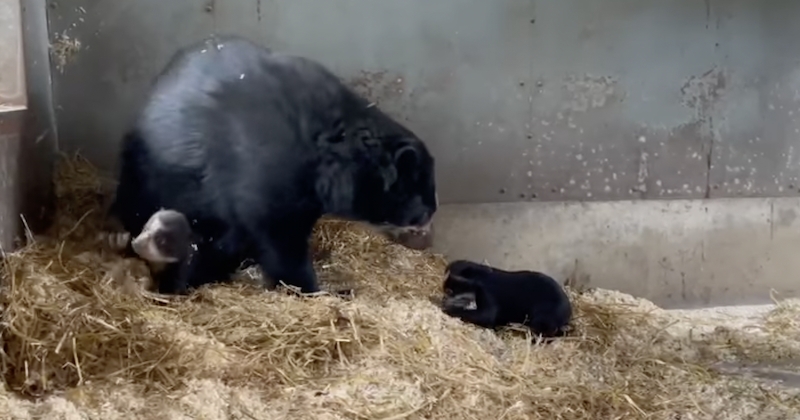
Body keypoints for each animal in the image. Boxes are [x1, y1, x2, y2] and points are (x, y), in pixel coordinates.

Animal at [106, 35, 438, 296]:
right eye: (422, 210)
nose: (427, 241)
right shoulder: (263, 177)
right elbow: (279, 240)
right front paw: (314, 290)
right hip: (149, 168)